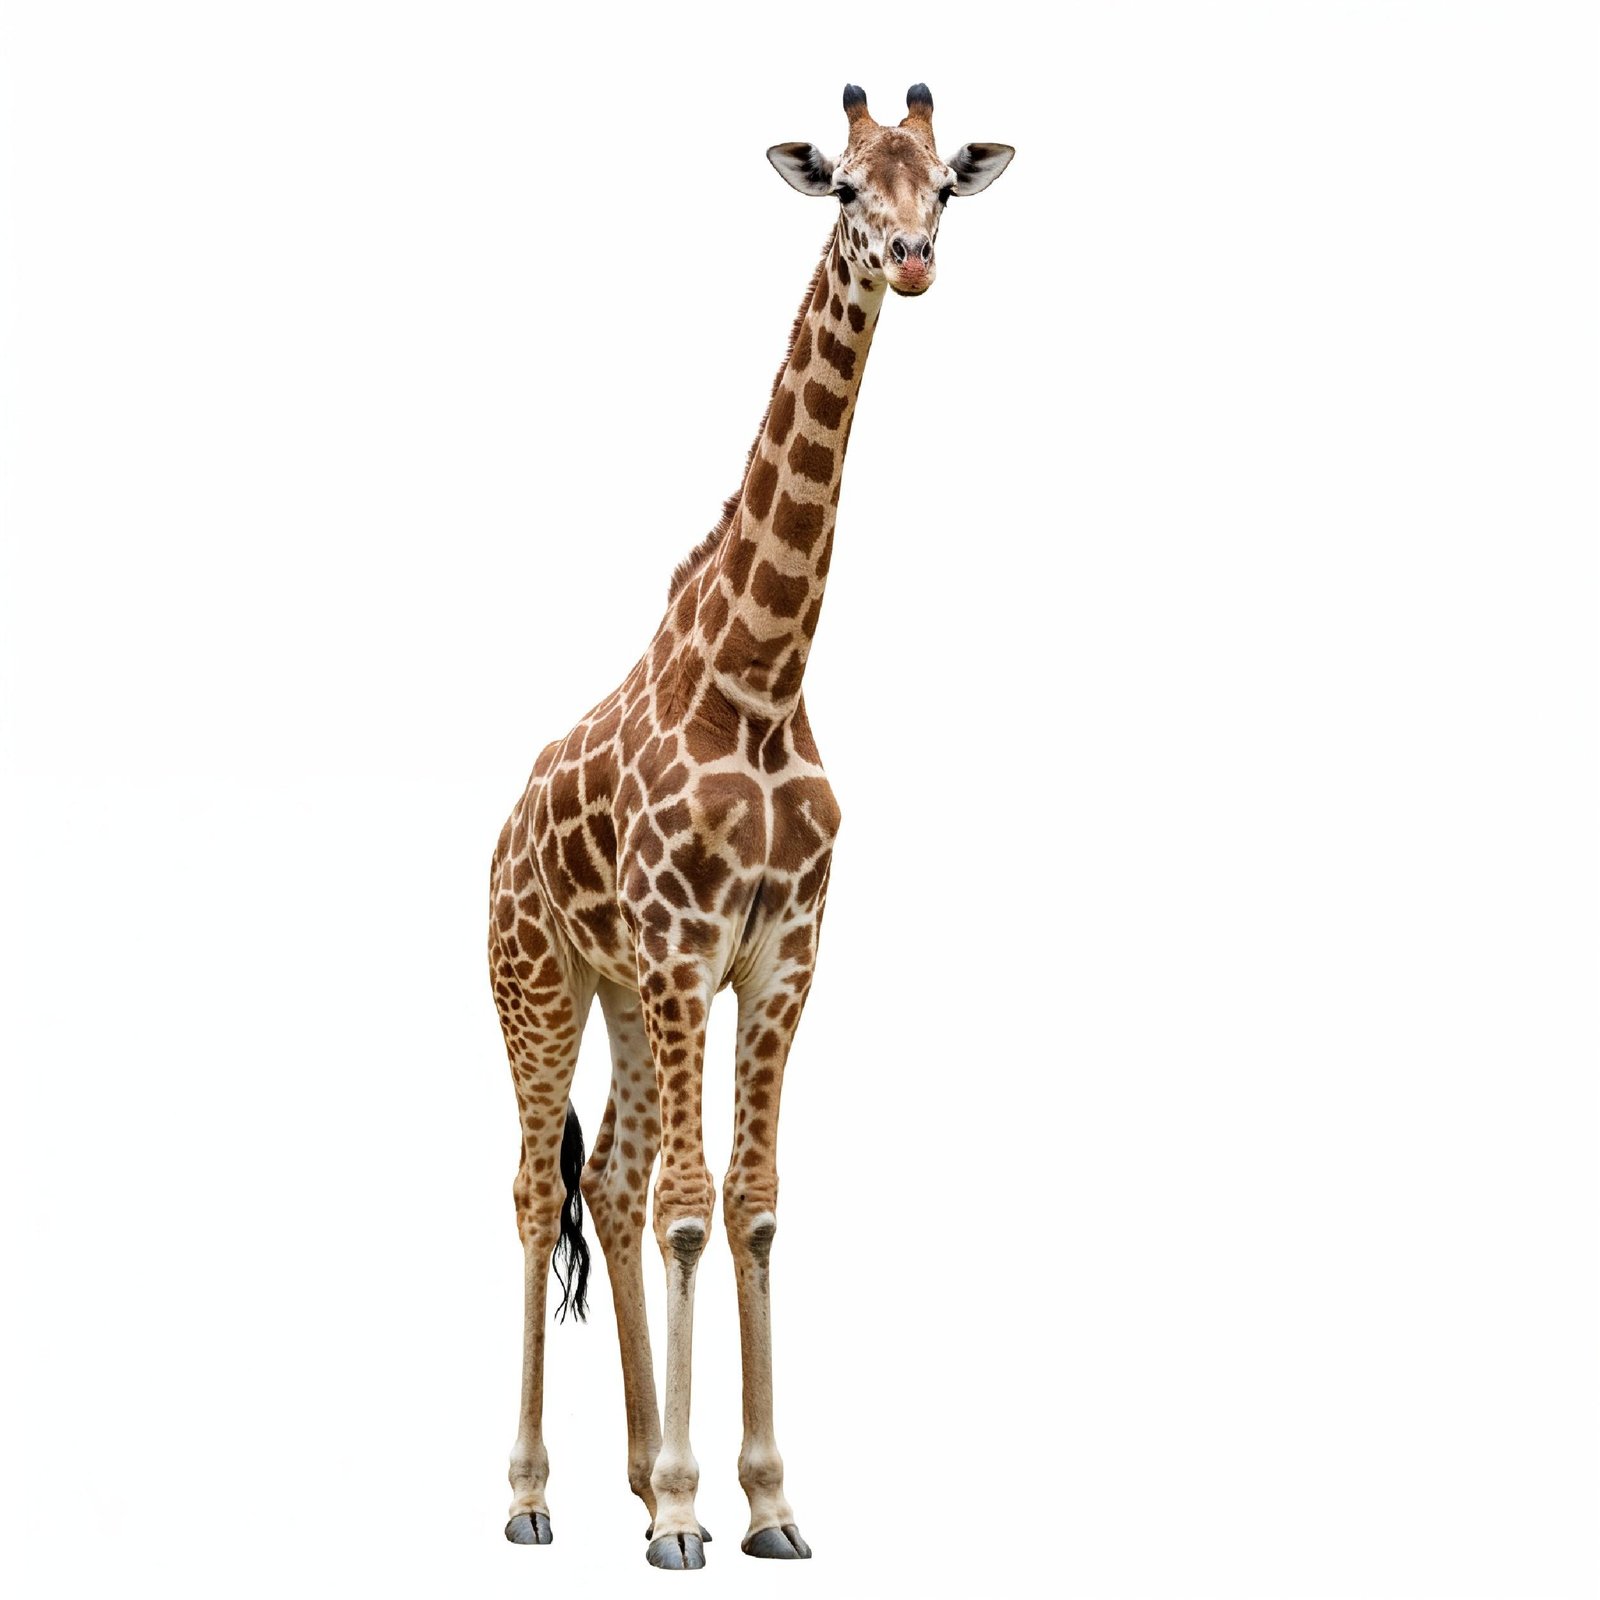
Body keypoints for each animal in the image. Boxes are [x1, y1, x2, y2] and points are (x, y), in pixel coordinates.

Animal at [487, 82, 1013, 1569]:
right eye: (841, 188)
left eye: (937, 185)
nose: (912, 259)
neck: (764, 676)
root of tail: (500, 829)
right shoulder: (686, 950)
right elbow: (688, 1211)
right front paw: (684, 1511)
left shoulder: (780, 957)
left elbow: (752, 1206)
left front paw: (763, 1502)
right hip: (539, 984)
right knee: (536, 1190)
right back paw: (536, 1494)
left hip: (619, 992)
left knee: (606, 1180)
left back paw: (626, 1472)